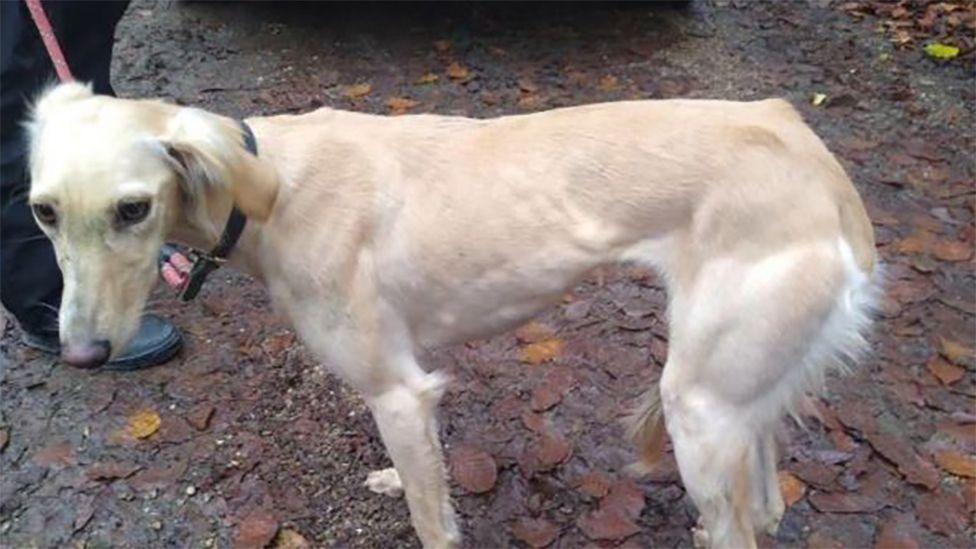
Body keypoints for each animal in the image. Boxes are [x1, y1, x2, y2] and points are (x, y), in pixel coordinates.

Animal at [26, 82, 880, 548]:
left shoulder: (399, 390)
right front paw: (388, 476)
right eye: (42, 211)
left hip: (697, 405)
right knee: (765, 502)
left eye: (133, 208)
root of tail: (812, 153)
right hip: (731, 391)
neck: (267, 187)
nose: (82, 353)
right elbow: (417, 474)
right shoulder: (412, 396)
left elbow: (431, 515)